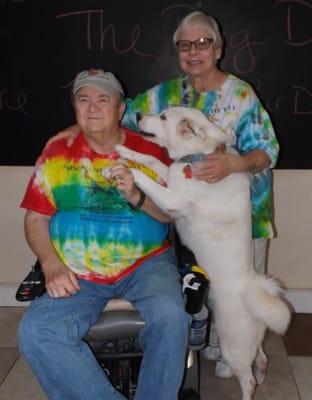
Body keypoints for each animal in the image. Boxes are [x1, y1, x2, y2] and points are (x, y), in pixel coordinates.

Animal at [114, 106, 290, 400]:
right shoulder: (170, 175)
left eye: (163, 117)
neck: (196, 156)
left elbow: (148, 178)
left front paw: (128, 171)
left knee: (248, 380)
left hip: (233, 347)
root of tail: (252, 291)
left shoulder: (172, 199)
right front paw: (125, 151)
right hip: (250, 342)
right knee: (262, 358)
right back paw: (264, 372)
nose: (137, 115)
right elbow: (152, 159)